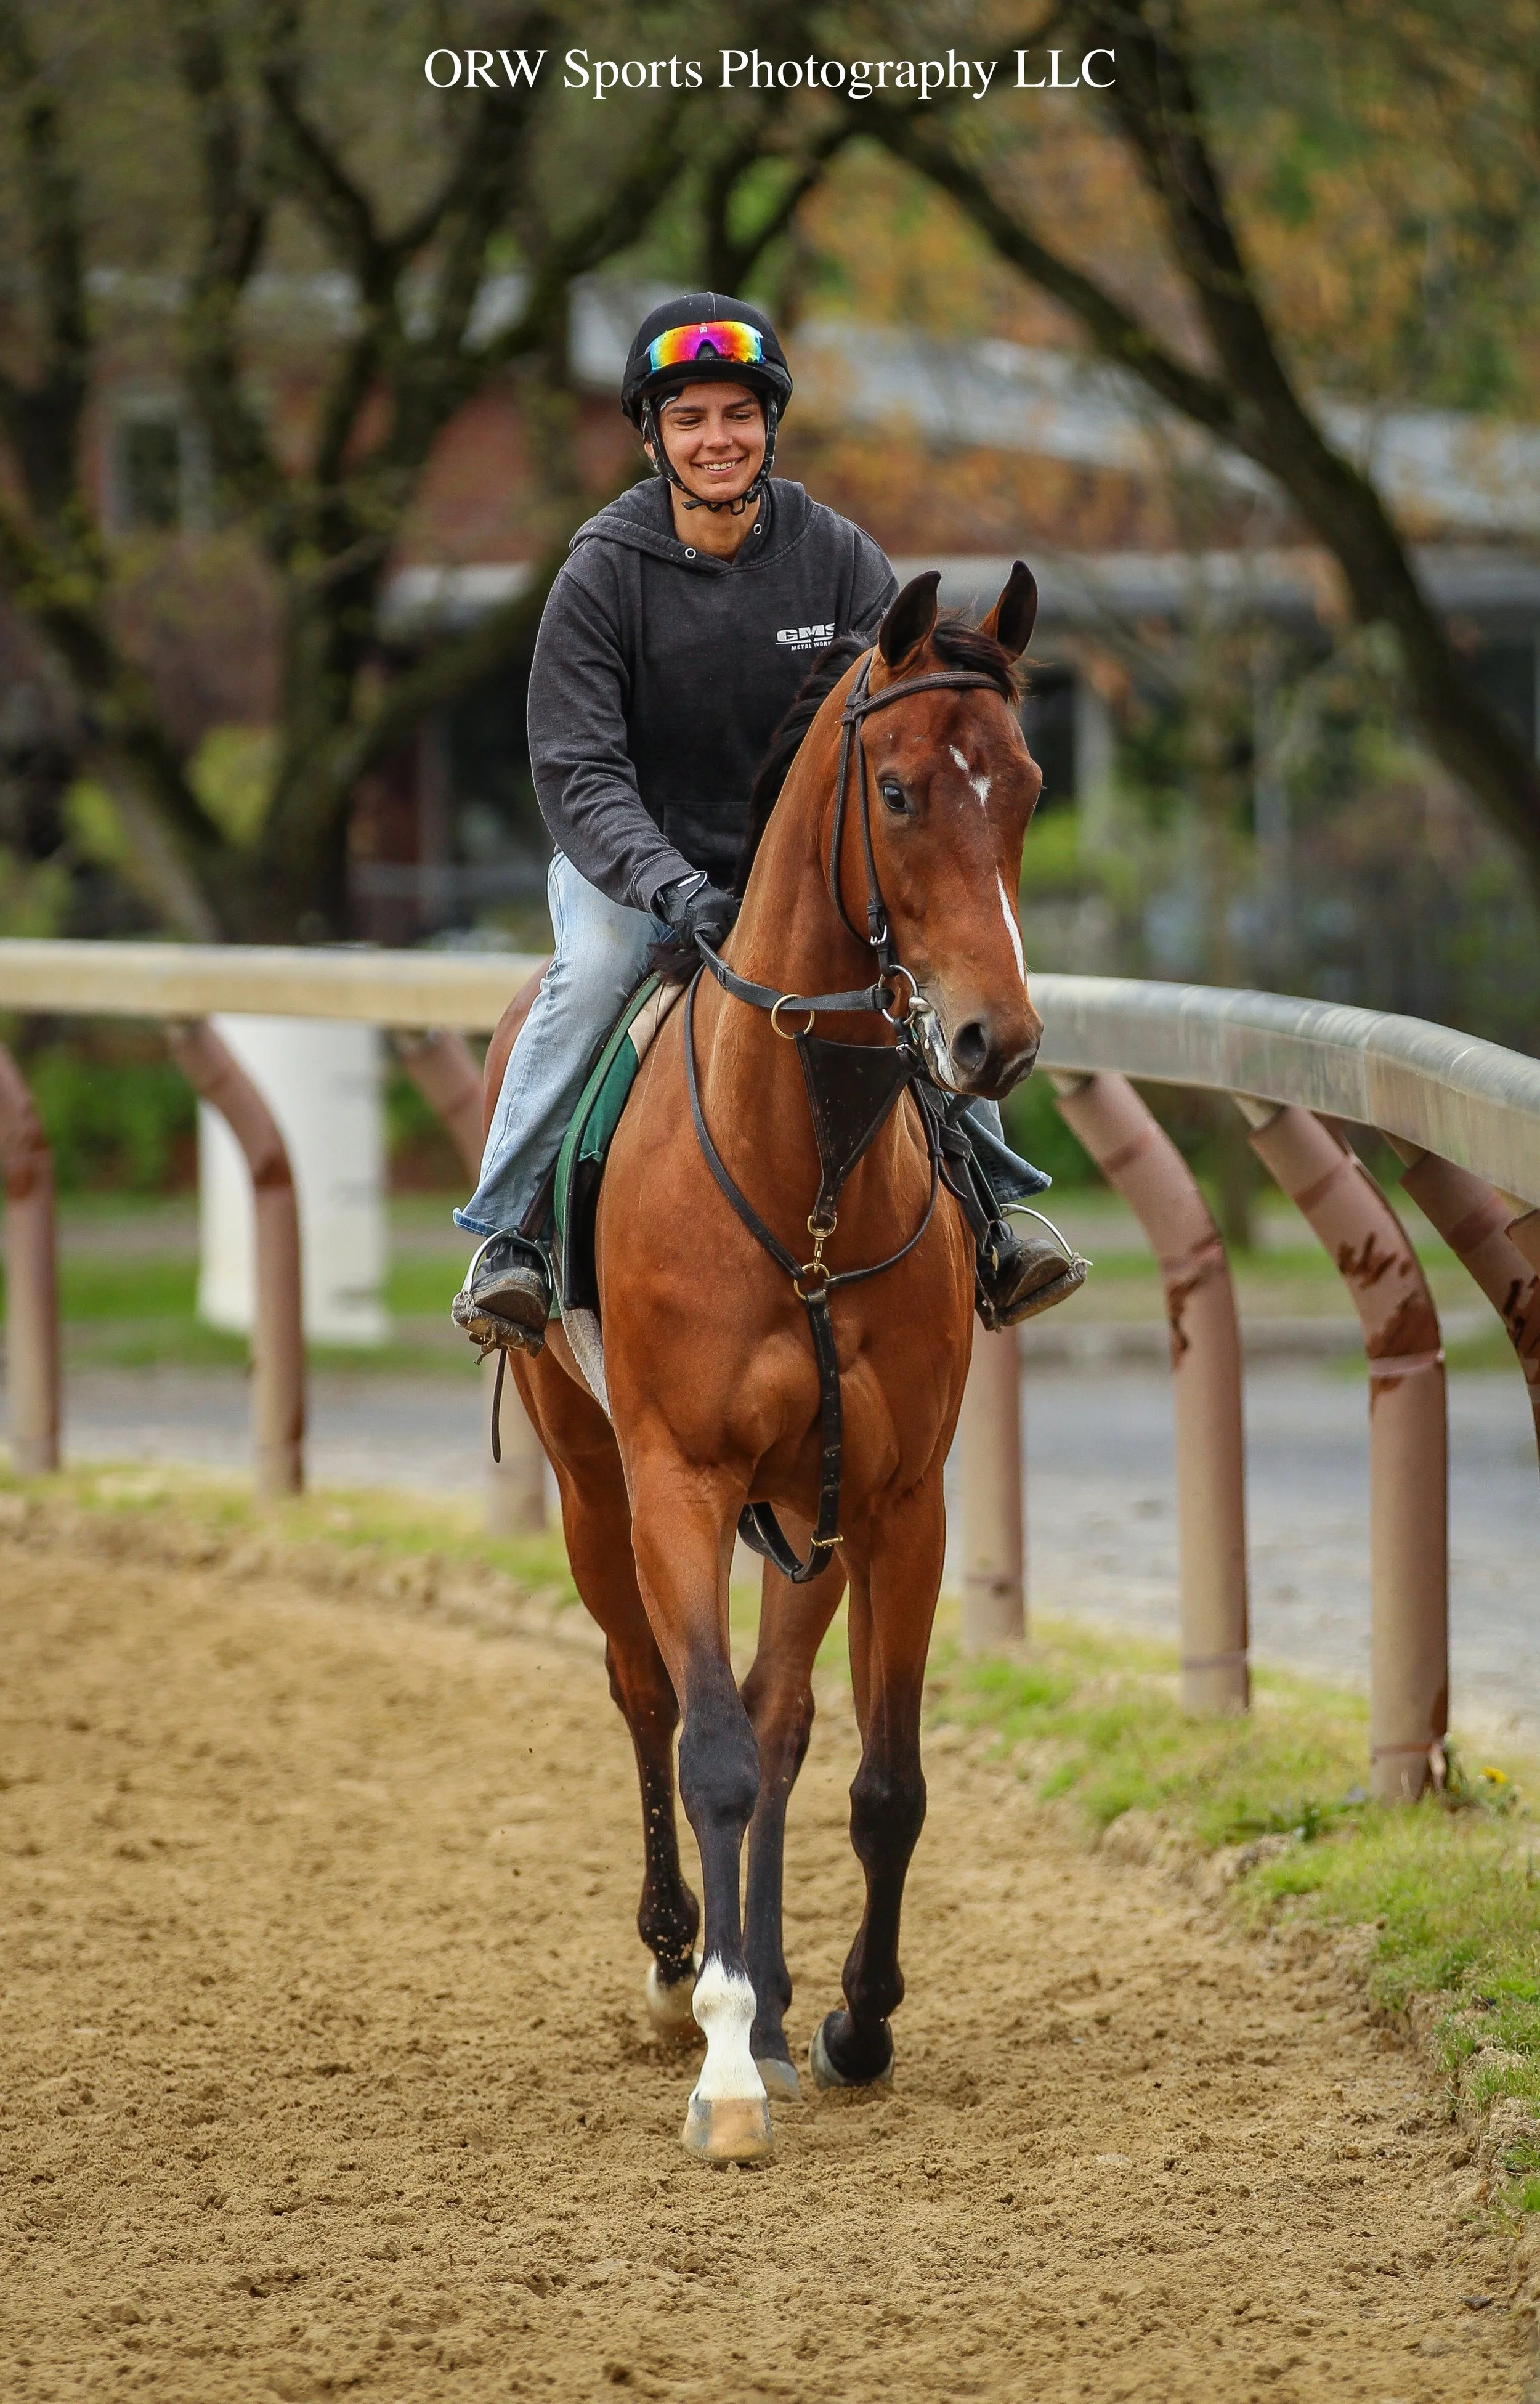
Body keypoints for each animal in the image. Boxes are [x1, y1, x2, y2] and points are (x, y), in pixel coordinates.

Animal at [484, 564, 1044, 2165]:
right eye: (900, 790)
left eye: (1028, 787)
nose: (993, 1039)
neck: (805, 1179)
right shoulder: (676, 1479)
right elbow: (711, 1747)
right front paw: (724, 2061)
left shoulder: (897, 1497)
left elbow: (876, 1775)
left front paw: (848, 2020)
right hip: (589, 1479)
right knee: (651, 1694)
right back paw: (687, 1965)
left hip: (809, 1510)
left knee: (782, 1715)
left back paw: (779, 2001)